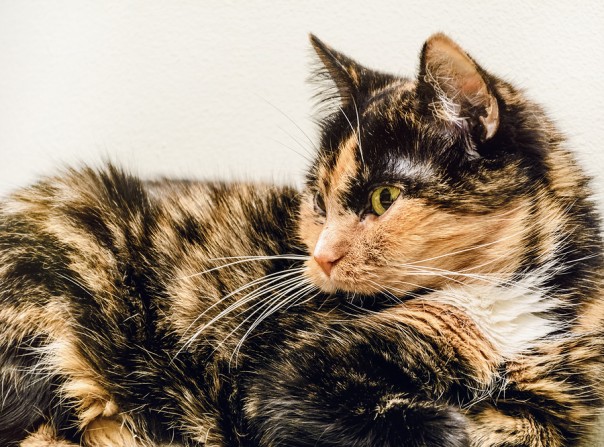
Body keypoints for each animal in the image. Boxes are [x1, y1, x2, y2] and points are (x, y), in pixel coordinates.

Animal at [0, 32, 600, 447]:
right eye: (317, 199)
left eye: (383, 197)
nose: (321, 256)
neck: (502, 298)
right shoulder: (284, 374)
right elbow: (308, 402)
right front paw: (447, 425)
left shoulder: (557, 399)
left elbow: (529, 428)